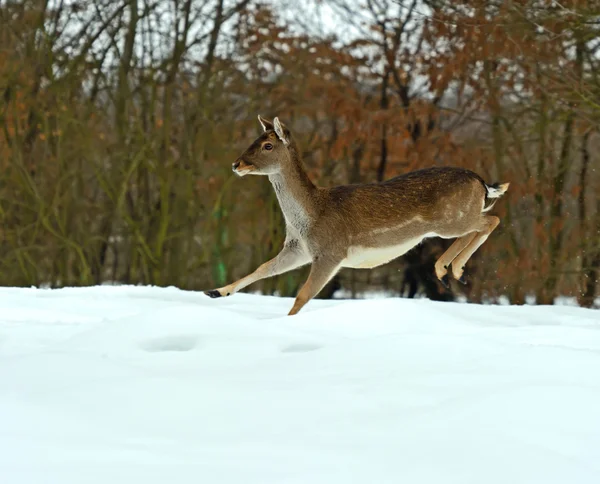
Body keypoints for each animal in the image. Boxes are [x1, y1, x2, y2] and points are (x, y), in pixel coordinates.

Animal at [204, 115, 508, 316]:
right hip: (450, 221)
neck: (309, 215)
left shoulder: (331, 250)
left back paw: (451, 270)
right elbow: (263, 268)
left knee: (490, 221)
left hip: (452, 218)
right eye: (255, 139)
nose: (237, 164)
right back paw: (448, 271)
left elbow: (303, 295)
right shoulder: (297, 248)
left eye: (268, 145)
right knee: (477, 228)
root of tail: (482, 182)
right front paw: (215, 291)